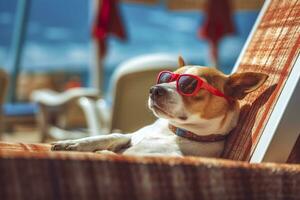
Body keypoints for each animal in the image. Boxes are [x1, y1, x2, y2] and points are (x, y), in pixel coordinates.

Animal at [51, 57, 268, 157]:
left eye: (188, 84)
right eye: (166, 78)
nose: (154, 89)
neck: (174, 131)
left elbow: (115, 154)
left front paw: (103, 154)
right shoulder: (128, 136)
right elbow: (109, 136)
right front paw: (73, 144)